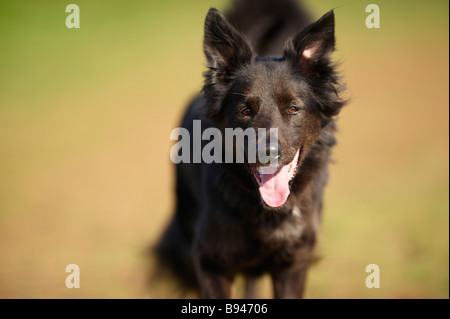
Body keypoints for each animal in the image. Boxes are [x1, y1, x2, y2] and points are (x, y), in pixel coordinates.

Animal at [156, 0, 346, 300]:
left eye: (293, 108)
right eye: (245, 111)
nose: (268, 152)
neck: (266, 211)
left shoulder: (294, 263)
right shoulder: (210, 262)